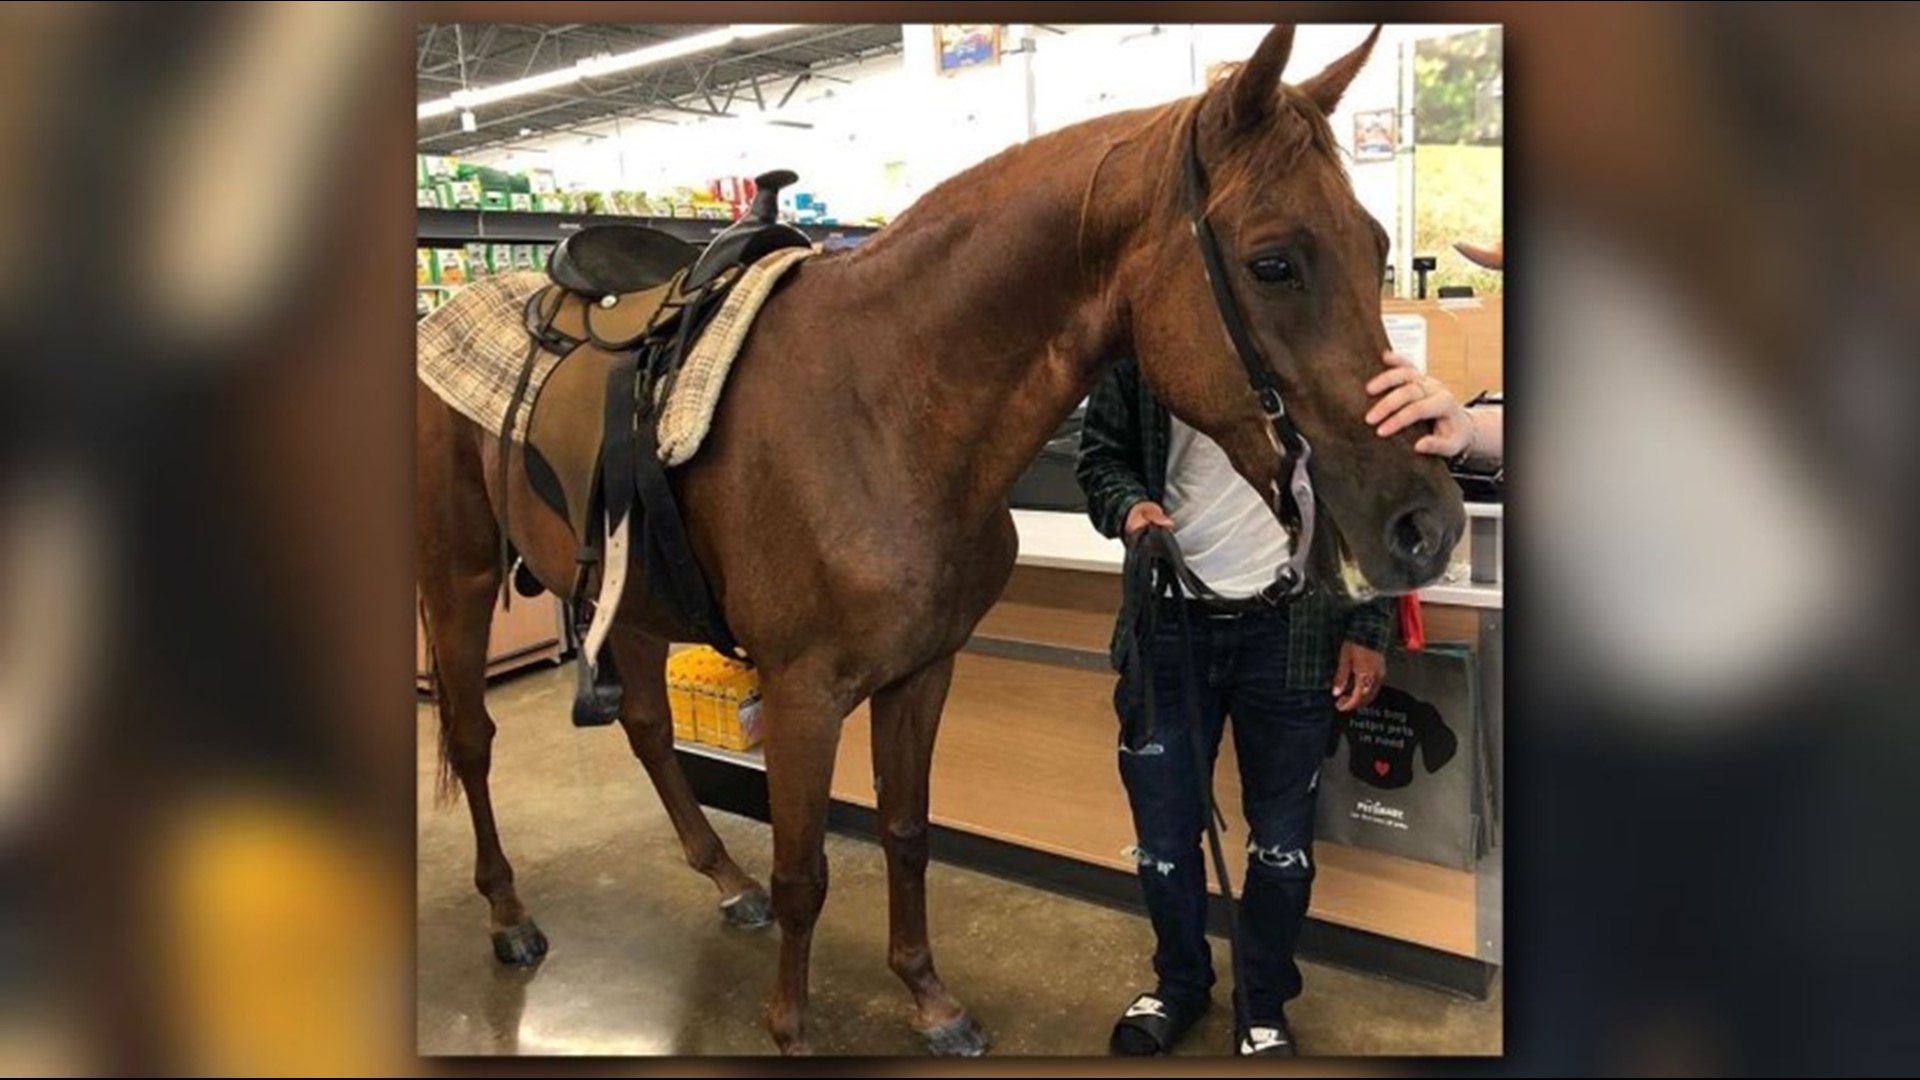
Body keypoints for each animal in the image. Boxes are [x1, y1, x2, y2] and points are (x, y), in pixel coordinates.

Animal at [416, 23, 1464, 1056]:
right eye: (1273, 262)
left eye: (1376, 245)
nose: (1427, 525)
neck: (887, 404)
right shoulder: (802, 695)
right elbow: (805, 871)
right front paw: (792, 1030)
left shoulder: (922, 672)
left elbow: (907, 832)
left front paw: (927, 998)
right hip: (456, 582)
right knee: (472, 738)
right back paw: (509, 915)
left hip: (626, 602)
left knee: (641, 725)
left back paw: (724, 880)